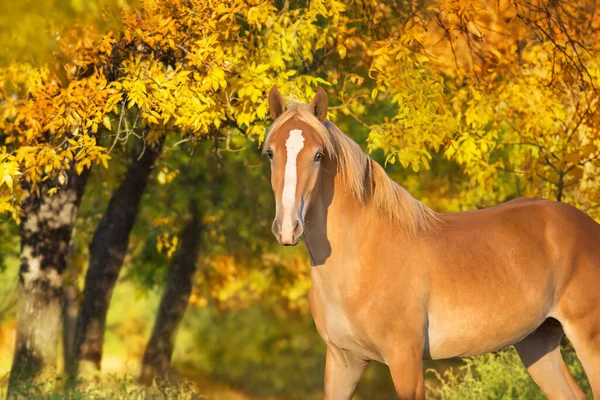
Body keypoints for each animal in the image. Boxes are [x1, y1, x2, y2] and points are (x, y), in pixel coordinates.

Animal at [262, 86, 600, 398]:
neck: (359, 258)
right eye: (271, 153)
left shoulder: (405, 360)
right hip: (537, 344)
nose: (288, 228)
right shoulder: (344, 362)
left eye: (318, 155)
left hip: (588, 339)